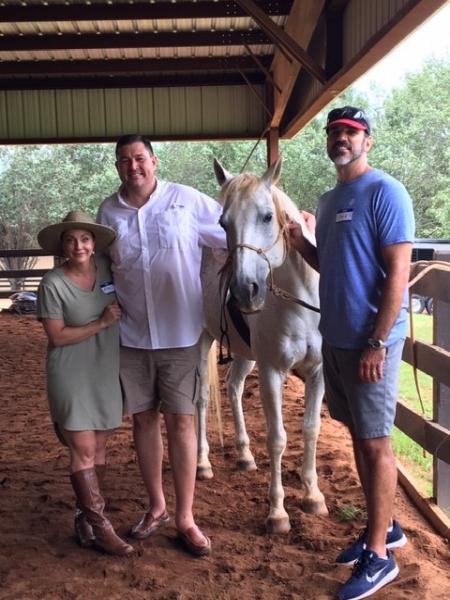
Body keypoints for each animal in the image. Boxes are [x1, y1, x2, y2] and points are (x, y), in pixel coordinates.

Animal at [197, 157, 326, 532]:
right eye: (224, 223)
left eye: (268, 216)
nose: (245, 290)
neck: (300, 303)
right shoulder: (272, 372)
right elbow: (278, 438)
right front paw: (277, 512)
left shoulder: (317, 372)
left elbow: (311, 429)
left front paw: (312, 496)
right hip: (202, 343)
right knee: (202, 398)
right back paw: (202, 463)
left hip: (245, 354)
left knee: (233, 388)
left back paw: (243, 454)